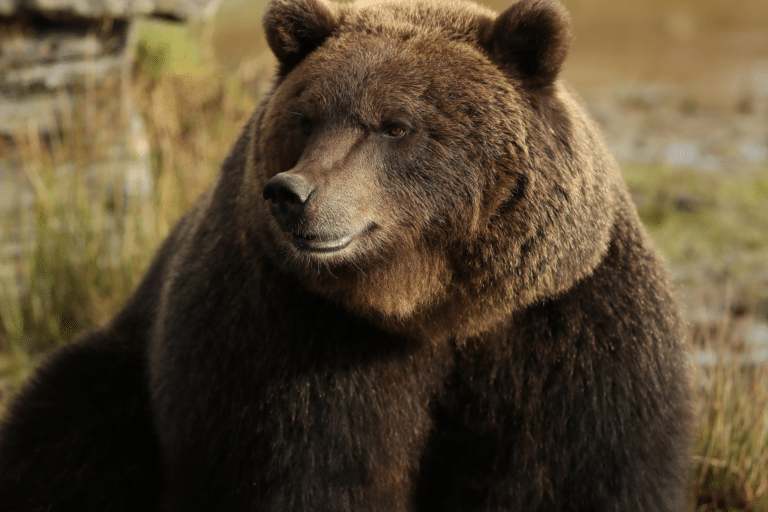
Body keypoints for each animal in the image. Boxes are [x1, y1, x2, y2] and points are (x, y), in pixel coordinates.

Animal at [0, 0, 692, 510]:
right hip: (124, 366)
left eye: (394, 125)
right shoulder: (293, 331)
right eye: (307, 115)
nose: (293, 194)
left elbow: (577, 470)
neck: (430, 309)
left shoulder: (565, 325)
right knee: (64, 429)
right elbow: (311, 469)